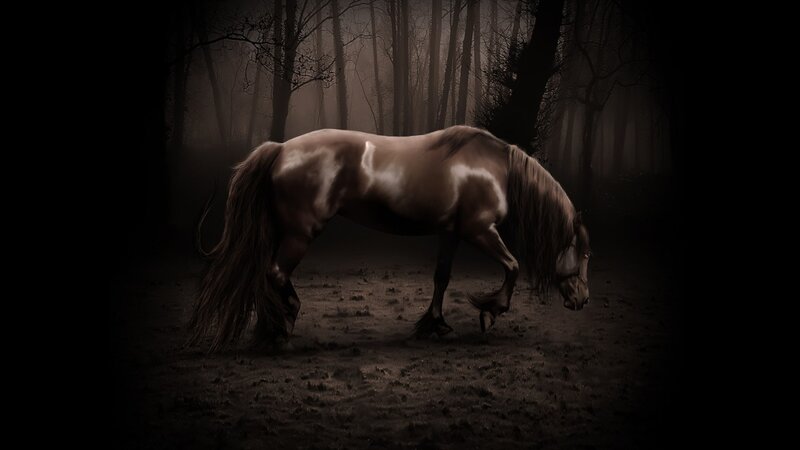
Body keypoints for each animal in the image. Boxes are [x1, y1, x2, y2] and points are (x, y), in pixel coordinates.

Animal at [189, 125, 591, 351]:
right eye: (585, 254)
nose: (582, 300)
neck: (495, 168)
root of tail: (281, 149)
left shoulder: (452, 232)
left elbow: (442, 278)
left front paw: (435, 324)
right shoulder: (479, 230)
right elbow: (512, 265)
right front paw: (490, 313)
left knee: (265, 274)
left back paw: (270, 328)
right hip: (300, 233)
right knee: (275, 273)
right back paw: (283, 325)